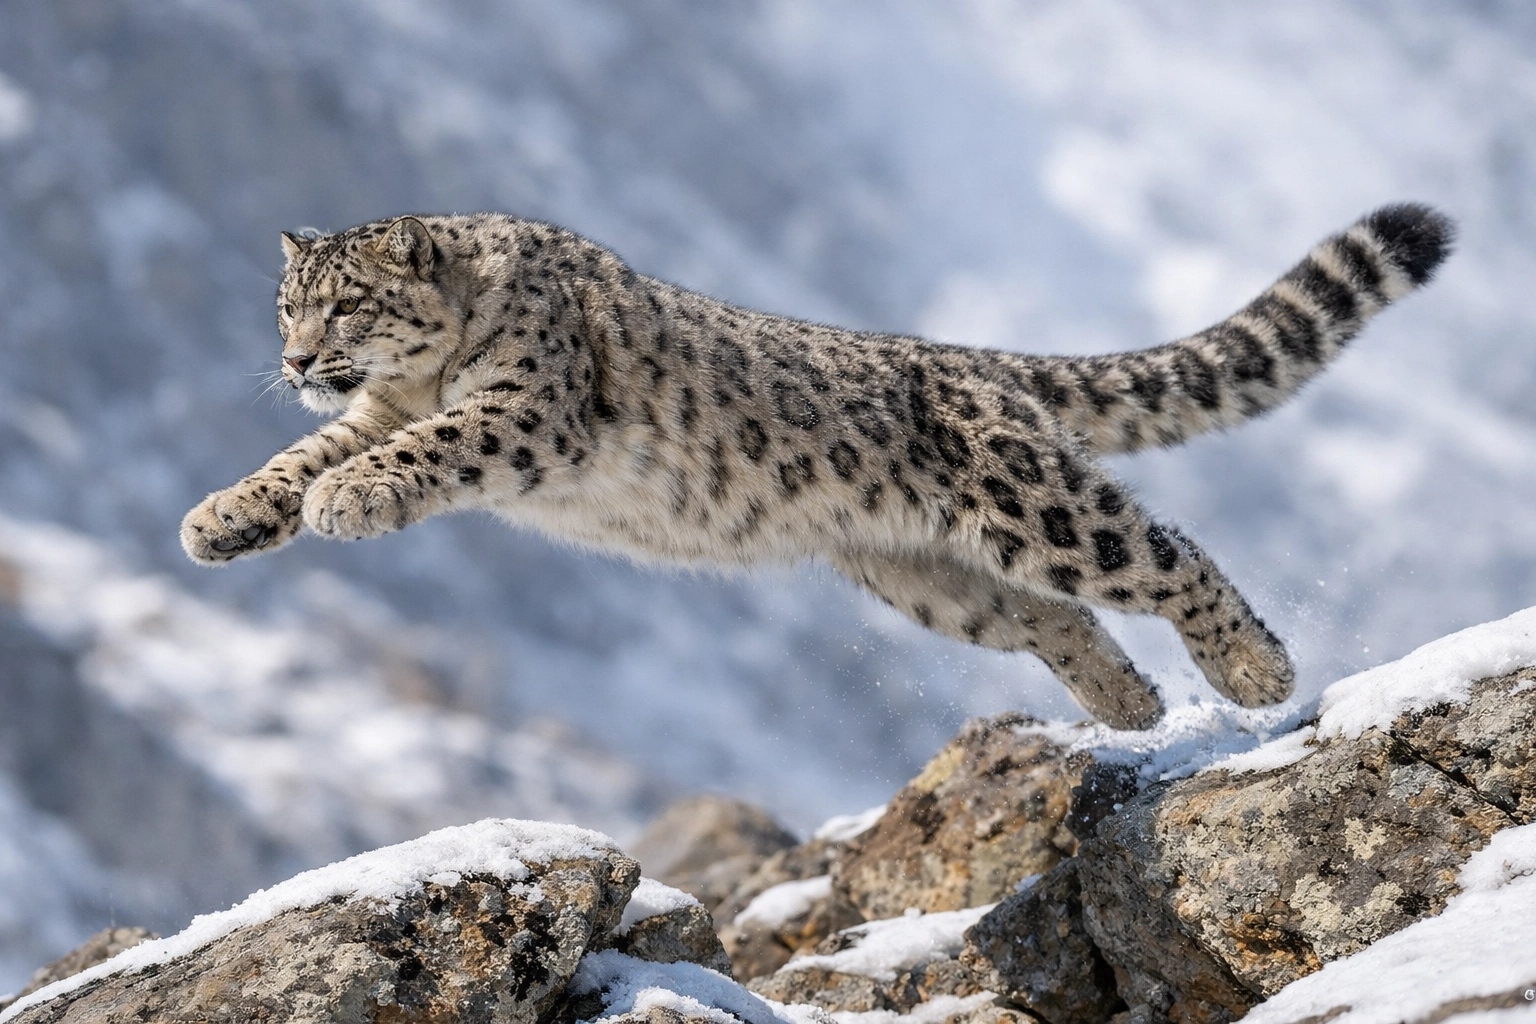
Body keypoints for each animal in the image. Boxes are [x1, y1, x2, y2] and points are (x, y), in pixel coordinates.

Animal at [181, 204, 1452, 729]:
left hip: (1038, 506)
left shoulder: (523, 409)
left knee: (1162, 554)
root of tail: (967, 359)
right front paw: (223, 517)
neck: (426, 367)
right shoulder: (368, 410)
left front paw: (352, 497)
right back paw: (1132, 708)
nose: (296, 359)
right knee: (1058, 618)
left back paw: (1254, 671)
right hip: (934, 579)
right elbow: (301, 453)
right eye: (288, 305)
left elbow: (423, 448)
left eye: (347, 304)